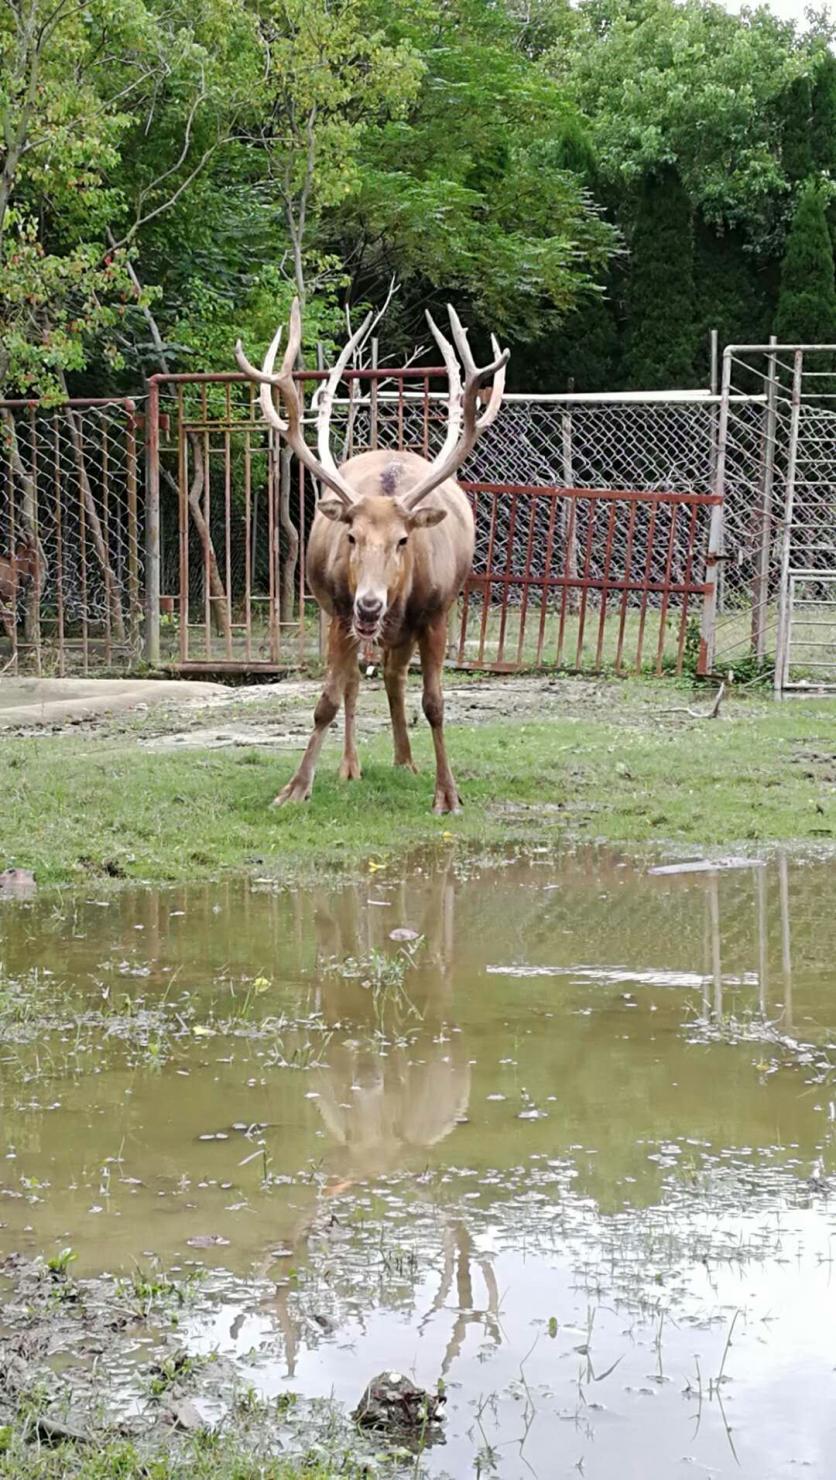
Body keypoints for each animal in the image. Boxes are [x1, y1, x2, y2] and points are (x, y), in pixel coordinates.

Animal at [235, 296, 508, 816]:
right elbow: (326, 699)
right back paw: (353, 764)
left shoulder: (437, 614)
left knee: (396, 675)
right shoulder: (340, 614)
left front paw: (447, 794)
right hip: (335, 614)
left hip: (409, 625)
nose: (370, 603)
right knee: (357, 682)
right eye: (351, 536)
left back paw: (406, 760)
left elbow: (435, 703)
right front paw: (295, 788)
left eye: (403, 540)